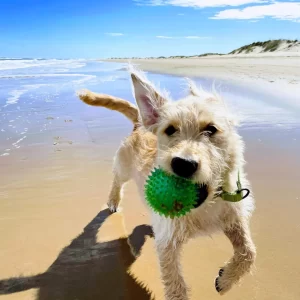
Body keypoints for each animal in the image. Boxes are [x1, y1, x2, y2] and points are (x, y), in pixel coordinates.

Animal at [77, 68, 255, 300]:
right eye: (170, 130)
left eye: (211, 129)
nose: (183, 163)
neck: (204, 207)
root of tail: (140, 123)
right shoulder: (168, 243)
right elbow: (175, 285)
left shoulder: (233, 218)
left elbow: (249, 251)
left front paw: (226, 281)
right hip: (124, 166)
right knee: (117, 180)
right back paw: (114, 200)